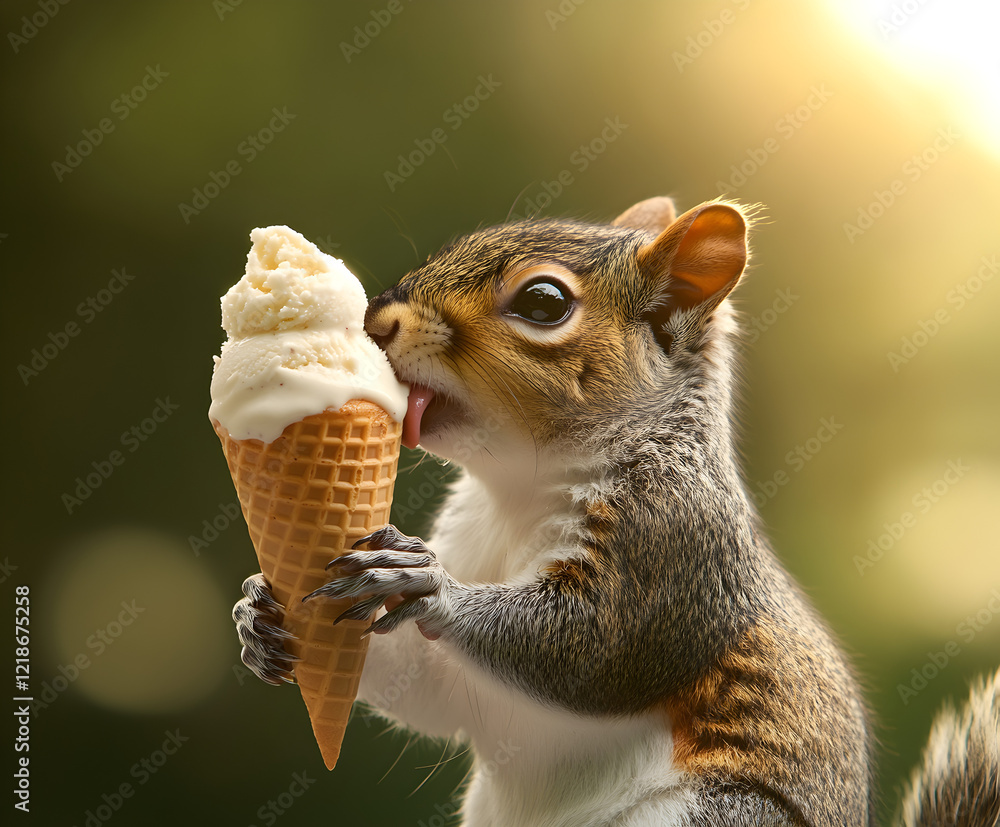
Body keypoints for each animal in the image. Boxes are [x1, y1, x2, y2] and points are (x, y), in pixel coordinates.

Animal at [233, 197, 1000, 826]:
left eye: (544, 302)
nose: (377, 320)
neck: (520, 491)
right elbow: (432, 692)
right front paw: (258, 615)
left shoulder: (671, 538)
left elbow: (592, 648)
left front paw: (426, 584)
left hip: (720, 815)